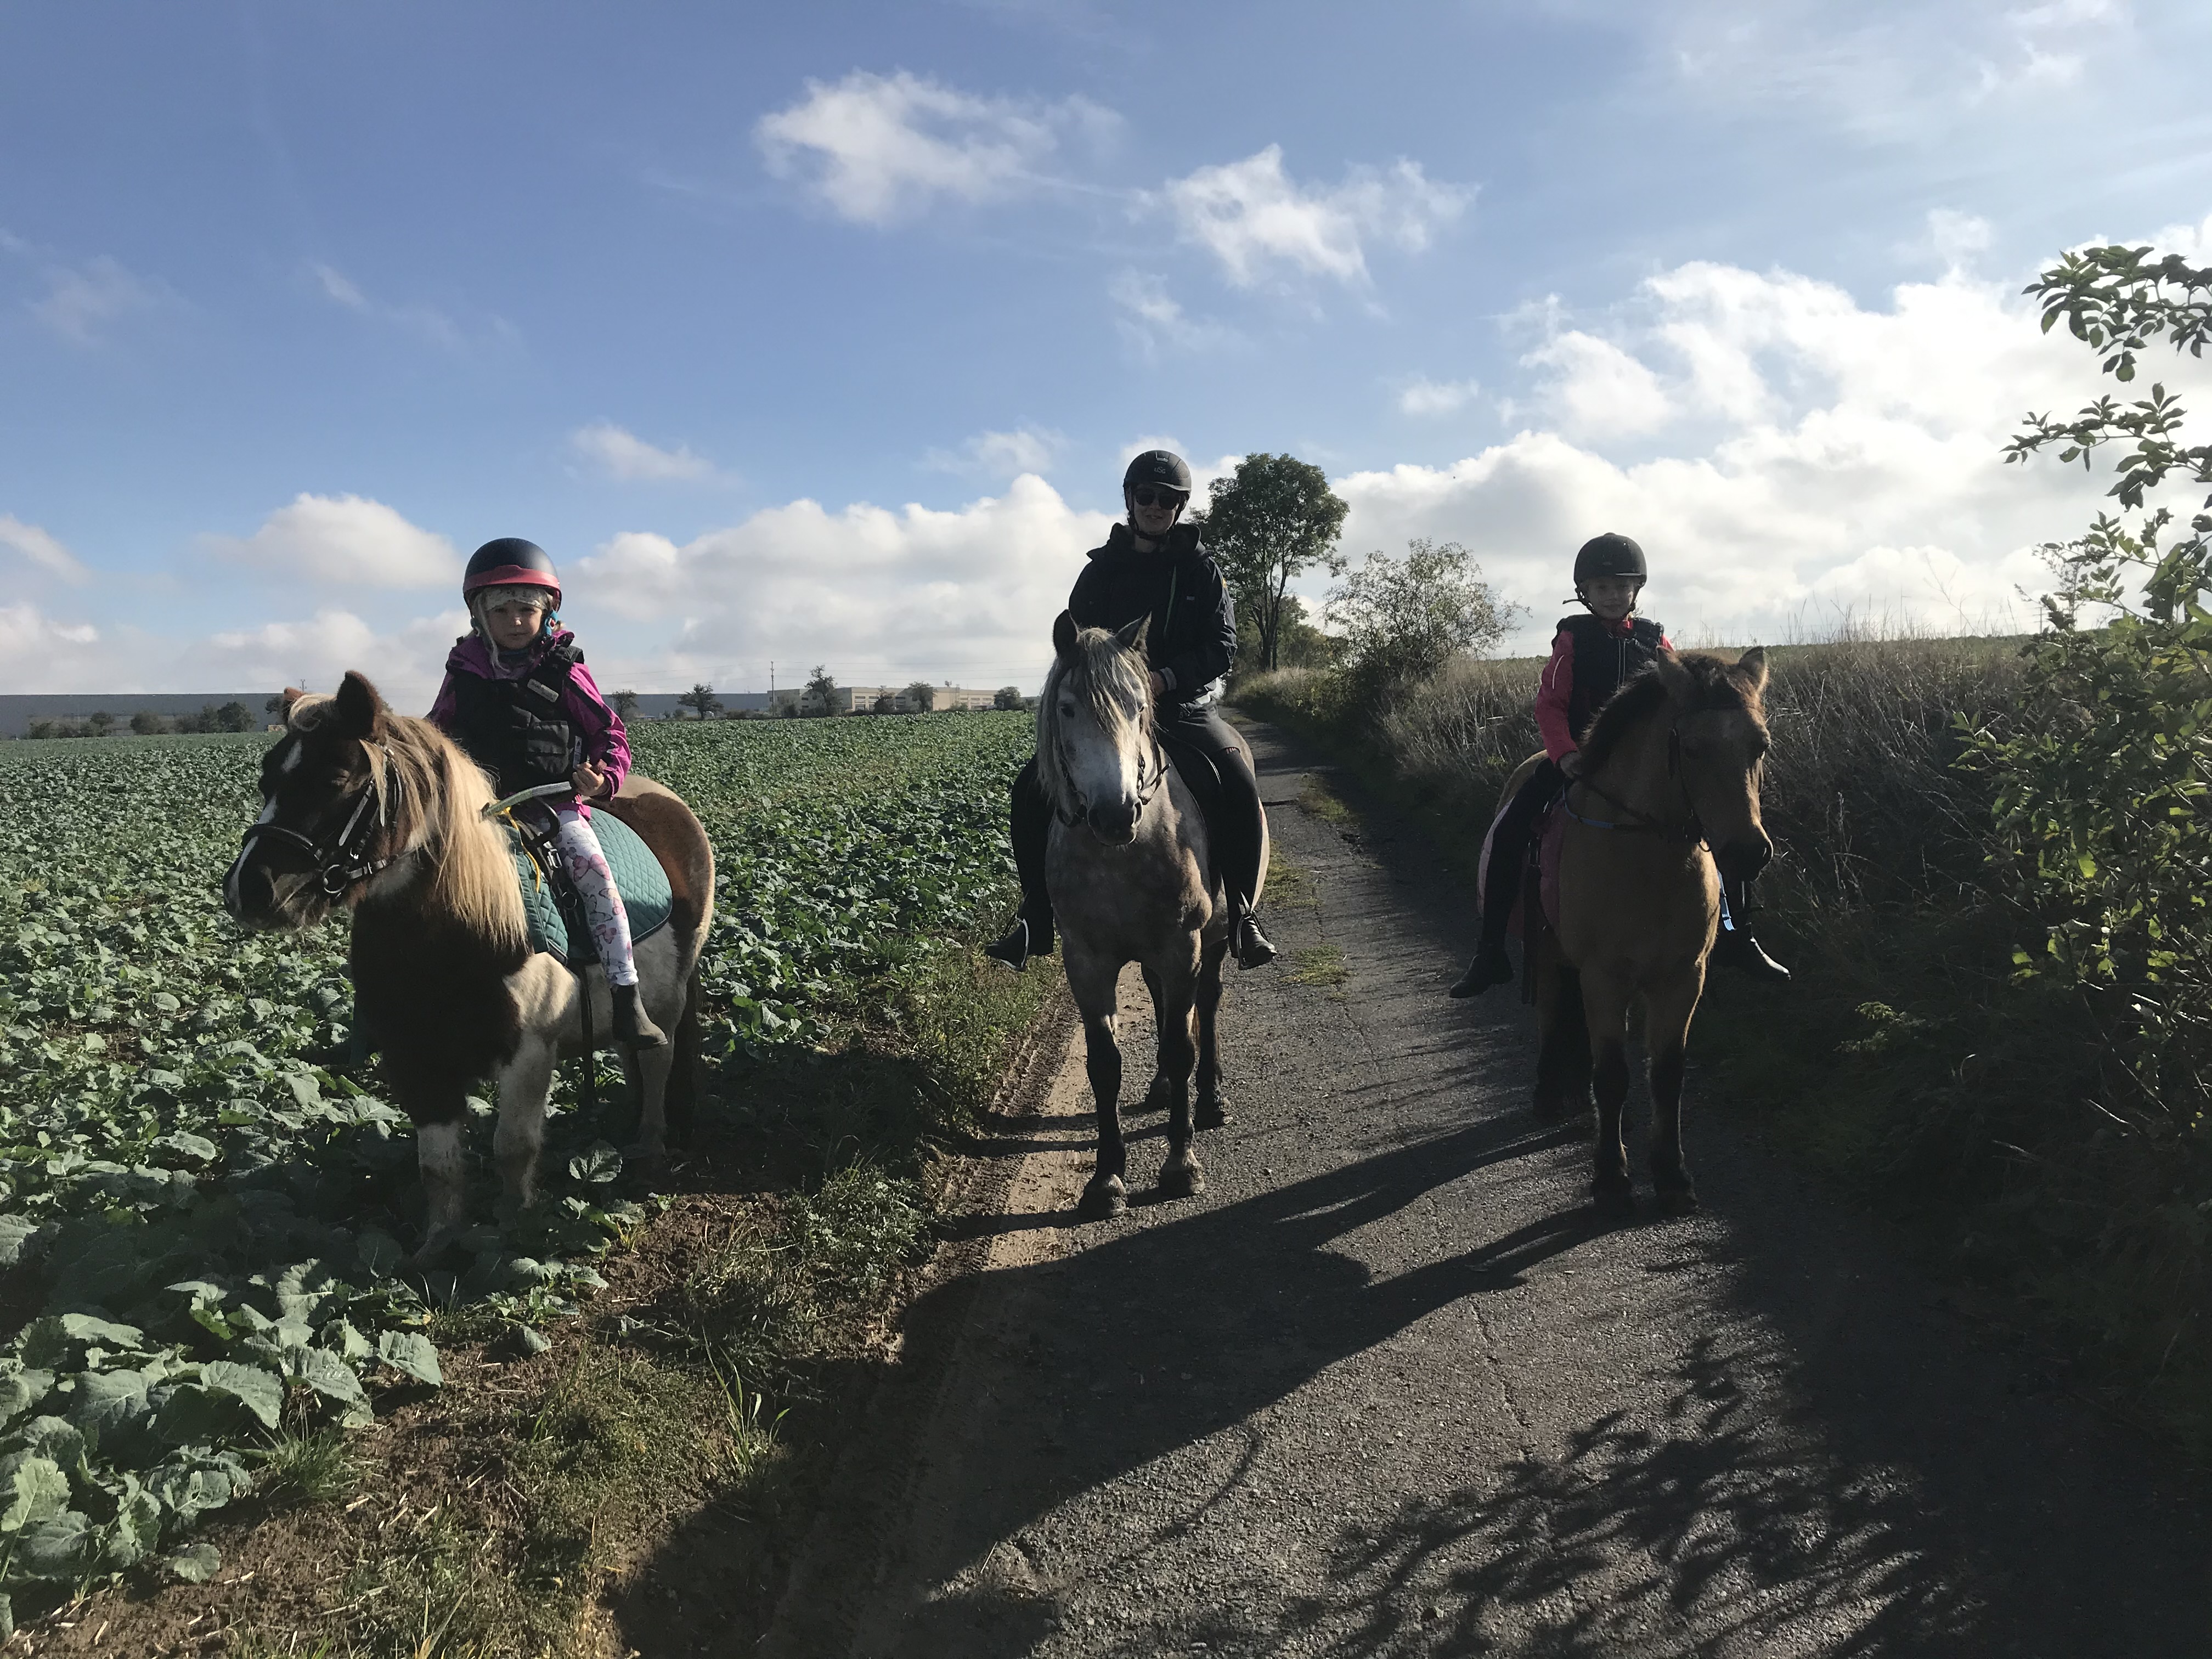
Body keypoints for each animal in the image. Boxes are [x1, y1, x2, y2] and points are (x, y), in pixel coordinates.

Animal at [221, 668, 712, 1256]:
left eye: (337, 777)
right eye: (267, 777)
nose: (249, 889)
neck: (452, 937)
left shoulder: (528, 1053)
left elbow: (513, 1148)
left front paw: (512, 1233)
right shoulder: (415, 1058)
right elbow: (438, 1165)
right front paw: (439, 1244)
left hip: (667, 1000)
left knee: (657, 1061)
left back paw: (649, 1147)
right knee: (629, 1056)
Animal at [1030, 610, 1265, 1221]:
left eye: (1139, 705)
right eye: (1068, 708)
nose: (1116, 814)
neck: (1121, 854)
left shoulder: (1182, 947)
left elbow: (1184, 1046)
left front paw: (1181, 1164)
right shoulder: (1087, 962)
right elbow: (1105, 1065)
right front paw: (1107, 1178)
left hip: (1212, 942)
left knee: (1206, 1008)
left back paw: (1210, 1098)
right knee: (1163, 1004)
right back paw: (1160, 1087)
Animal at [1513, 654, 1769, 1221]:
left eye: (1759, 746)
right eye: (1691, 748)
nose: (1748, 853)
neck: (1647, 856)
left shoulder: (1682, 978)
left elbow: (1667, 1075)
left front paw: (1673, 1177)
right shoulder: (1603, 978)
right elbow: (1612, 1076)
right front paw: (1611, 1180)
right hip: (1549, 955)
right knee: (1549, 1014)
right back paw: (1548, 1094)